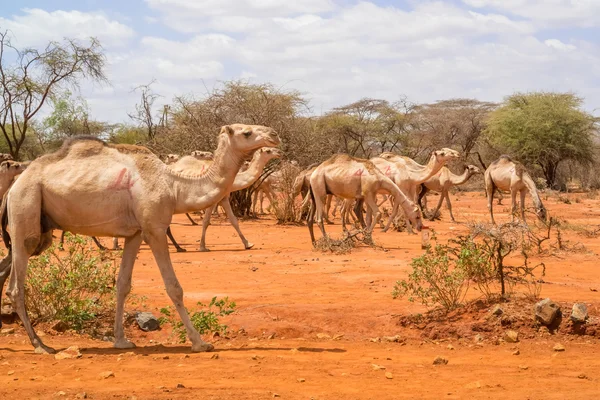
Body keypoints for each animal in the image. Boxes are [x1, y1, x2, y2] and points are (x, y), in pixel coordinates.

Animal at [0, 122, 278, 354]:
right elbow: (174, 287)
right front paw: (200, 342)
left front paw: (121, 340)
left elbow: (123, 284)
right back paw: (40, 344)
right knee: (16, 286)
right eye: (247, 133)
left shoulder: (135, 233)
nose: (274, 135)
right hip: (26, 208)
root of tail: (13, 187)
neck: (174, 186)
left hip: (39, 227)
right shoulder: (154, 228)